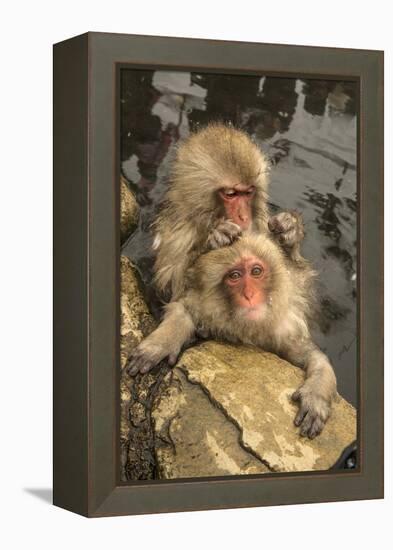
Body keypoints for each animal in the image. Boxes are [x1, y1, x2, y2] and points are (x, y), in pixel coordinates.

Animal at [152, 124, 302, 302]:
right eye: (231, 194)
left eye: (248, 192)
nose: (244, 217)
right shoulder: (179, 235)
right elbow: (168, 289)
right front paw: (215, 237)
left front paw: (290, 229)